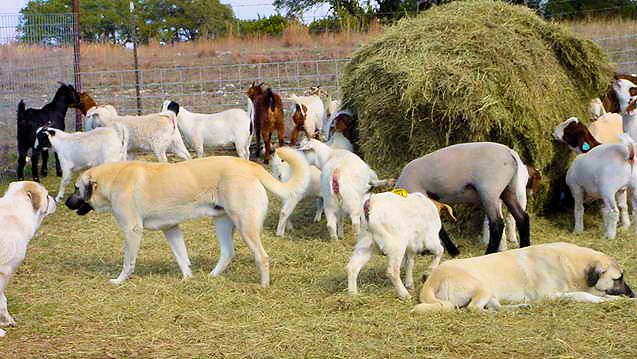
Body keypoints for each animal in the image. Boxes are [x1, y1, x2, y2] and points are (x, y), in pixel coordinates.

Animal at [64, 146, 308, 286]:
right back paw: (211, 277)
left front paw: (119, 280)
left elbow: (128, 262)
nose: (65, 203)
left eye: (76, 189)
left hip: (245, 225)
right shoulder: (171, 229)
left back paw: (263, 285)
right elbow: (182, 257)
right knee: (228, 253)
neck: (114, 178)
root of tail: (248, 165)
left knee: (262, 257)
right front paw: (187, 279)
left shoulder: (132, 230)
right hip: (222, 222)